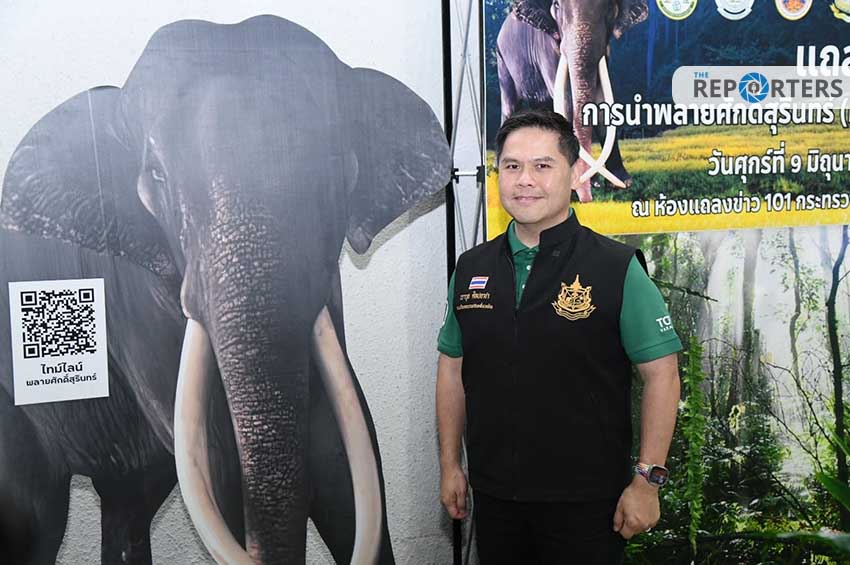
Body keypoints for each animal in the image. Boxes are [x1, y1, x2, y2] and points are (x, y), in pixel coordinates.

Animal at [1, 14, 451, 565]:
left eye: (336, 168)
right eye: (156, 176)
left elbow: (343, 453)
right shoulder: (135, 298)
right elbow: (219, 464)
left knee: (127, 504)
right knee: (34, 519)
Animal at [496, 0, 648, 201]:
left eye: (609, 7)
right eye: (557, 5)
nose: (587, 199)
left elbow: (601, 102)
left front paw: (621, 183)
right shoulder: (546, 46)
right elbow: (566, 100)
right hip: (502, 62)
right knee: (509, 105)